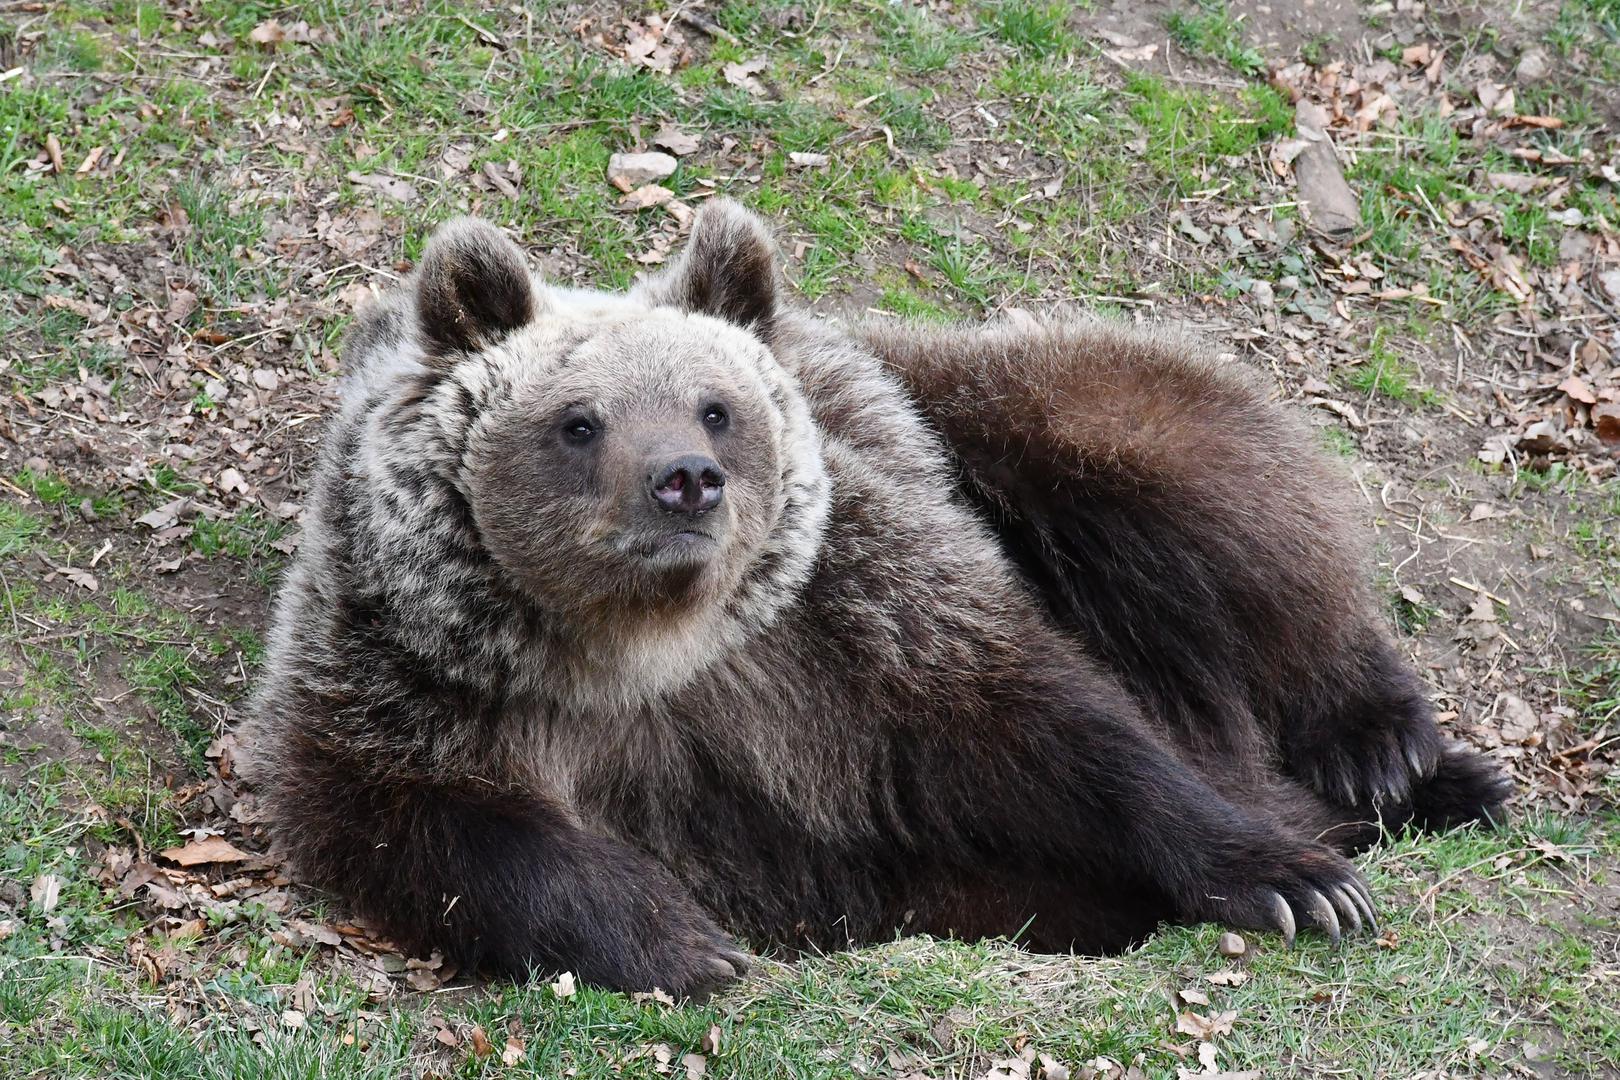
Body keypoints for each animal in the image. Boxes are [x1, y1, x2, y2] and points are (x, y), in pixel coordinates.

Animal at [239, 196, 1503, 997]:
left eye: (714, 408)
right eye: (579, 420)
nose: (684, 480)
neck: (650, 652)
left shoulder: (856, 615)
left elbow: (1046, 728)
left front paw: (1291, 879)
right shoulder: (416, 675)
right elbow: (437, 825)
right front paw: (680, 941)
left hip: (994, 407)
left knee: (1196, 496)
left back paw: (1394, 755)